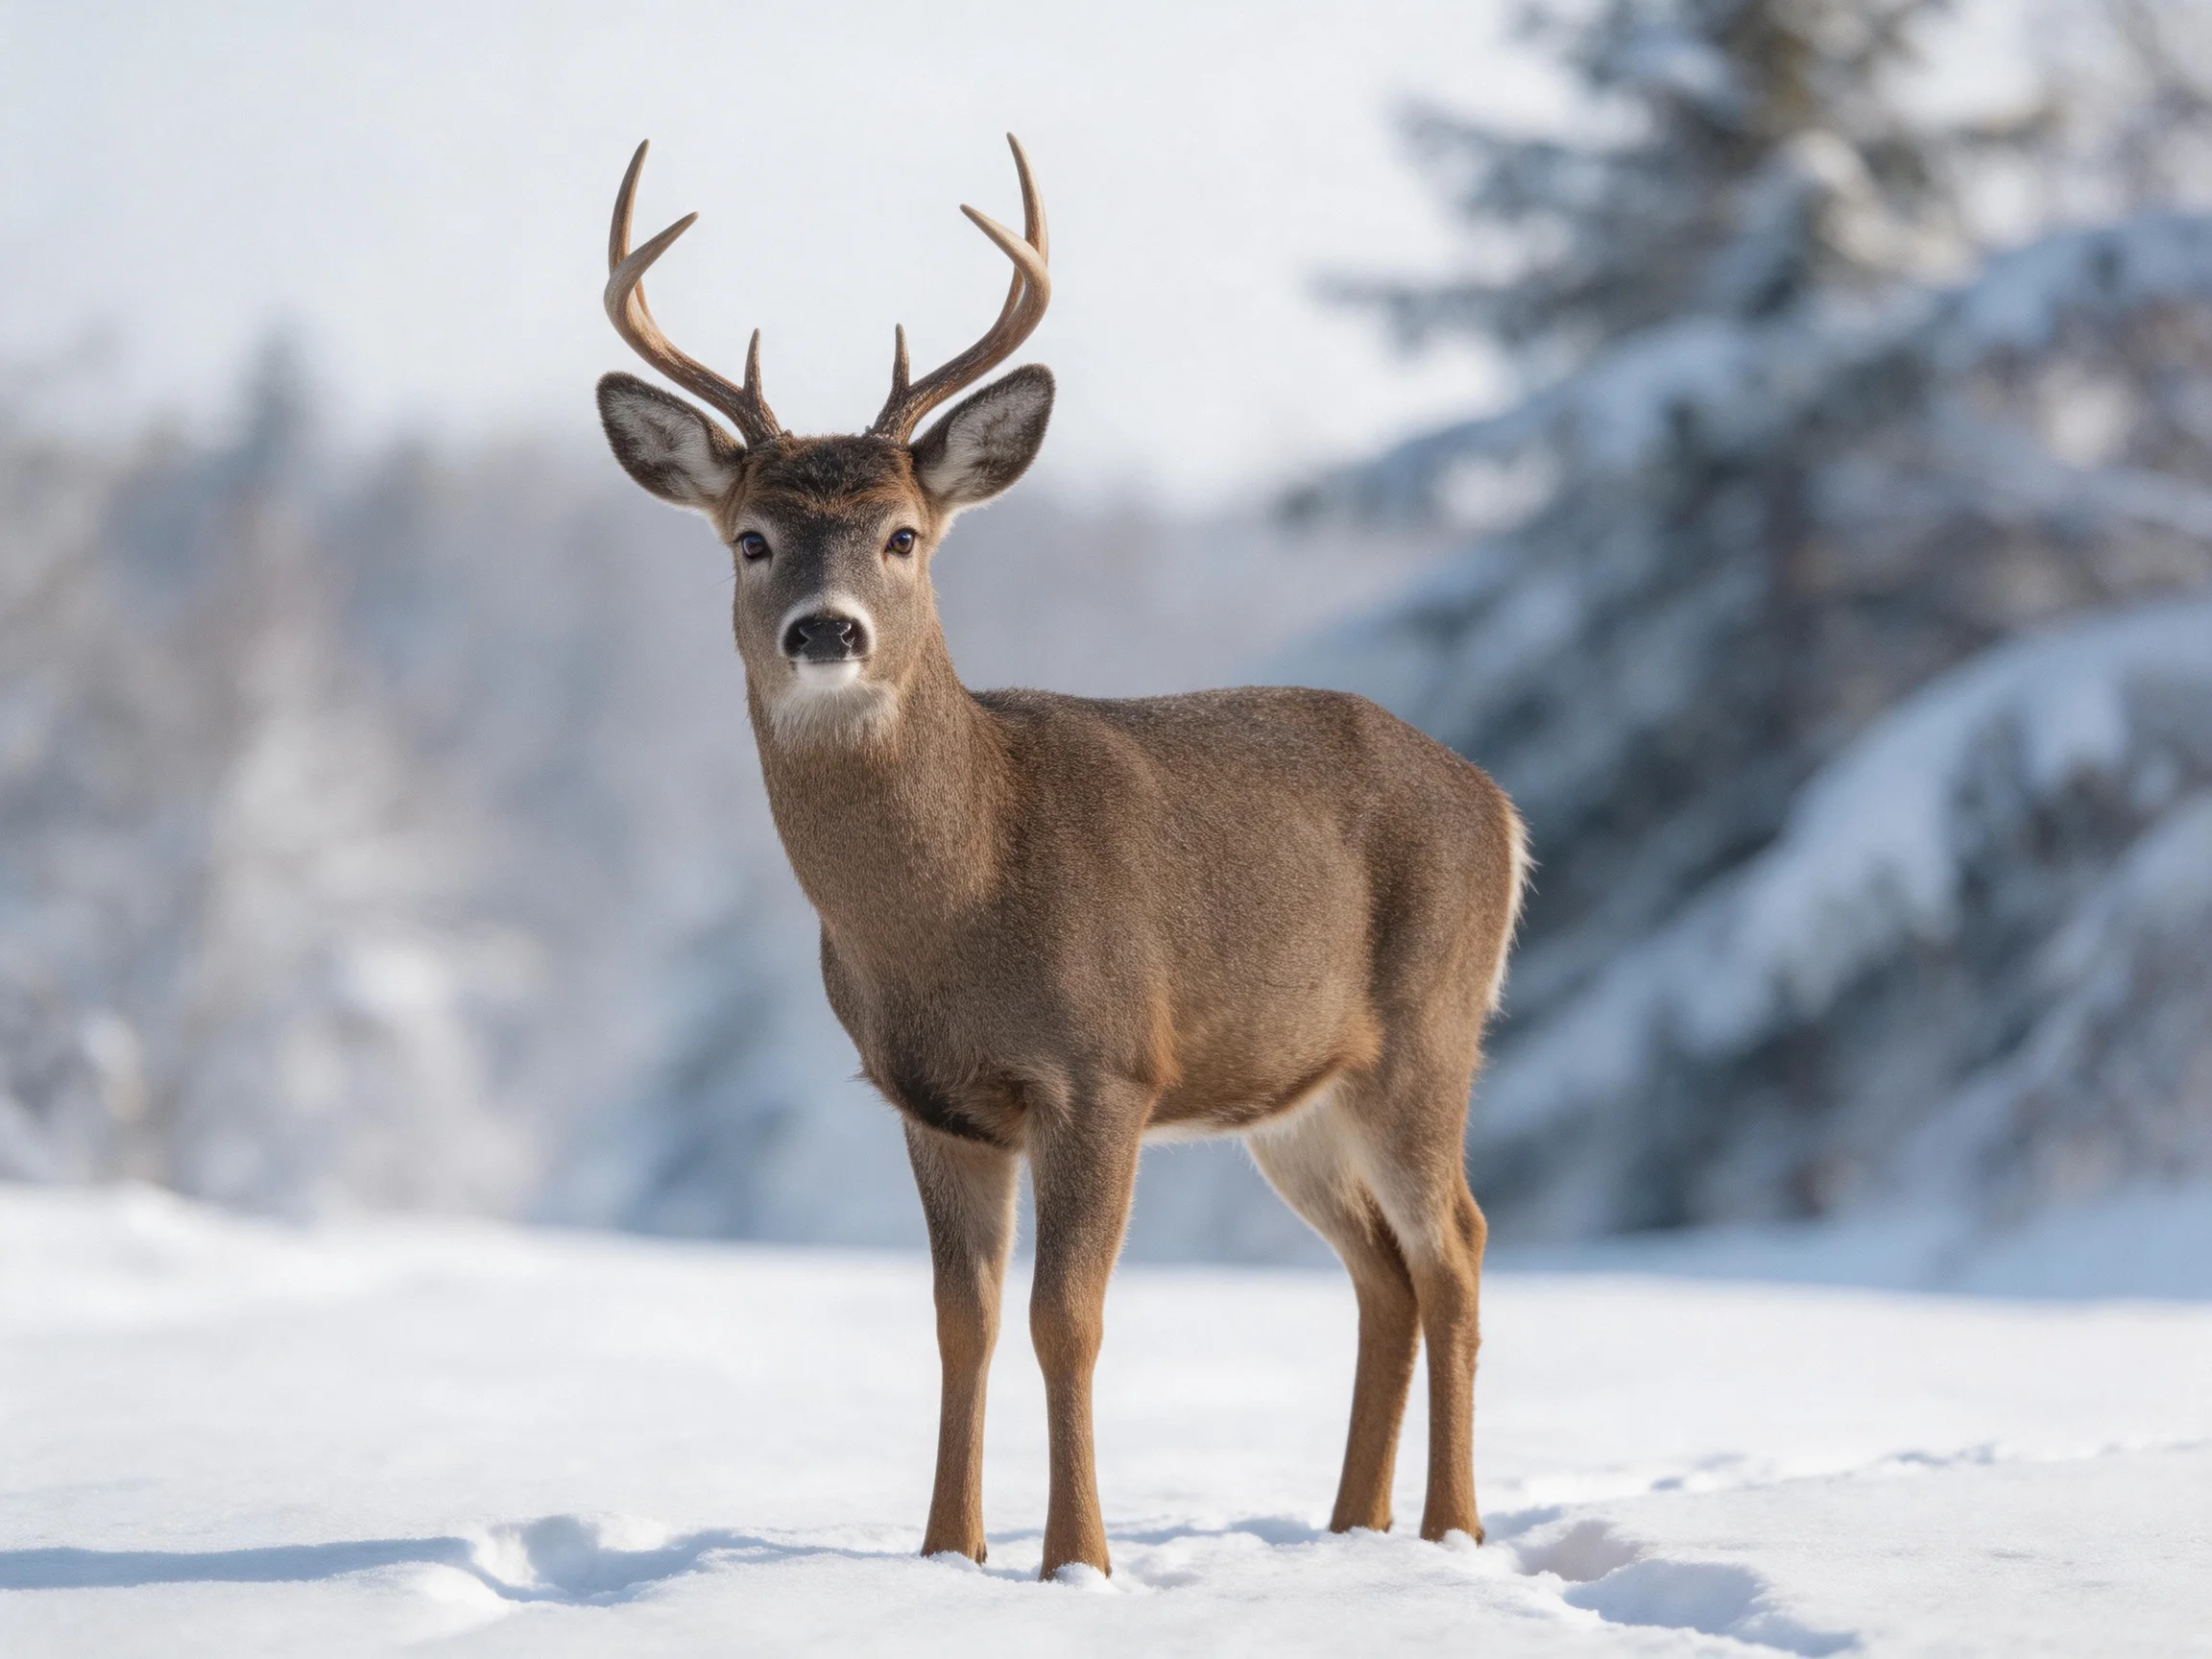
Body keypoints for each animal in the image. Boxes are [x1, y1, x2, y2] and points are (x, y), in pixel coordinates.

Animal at [592, 135, 1528, 1581]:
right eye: (751, 539)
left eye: (903, 534)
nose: (827, 631)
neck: (959, 904)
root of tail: (1497, 802)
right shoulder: (929, 1100)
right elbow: (960, 1323)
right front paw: (948, 1554)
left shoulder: (1103, 1069)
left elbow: (1064, 1319)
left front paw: (1077, 1561)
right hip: (1294, 1096)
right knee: (1380, 1269)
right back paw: (1351, 1528)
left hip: (1428, 1031)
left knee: (1458, 1250)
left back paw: (1453, 1533)